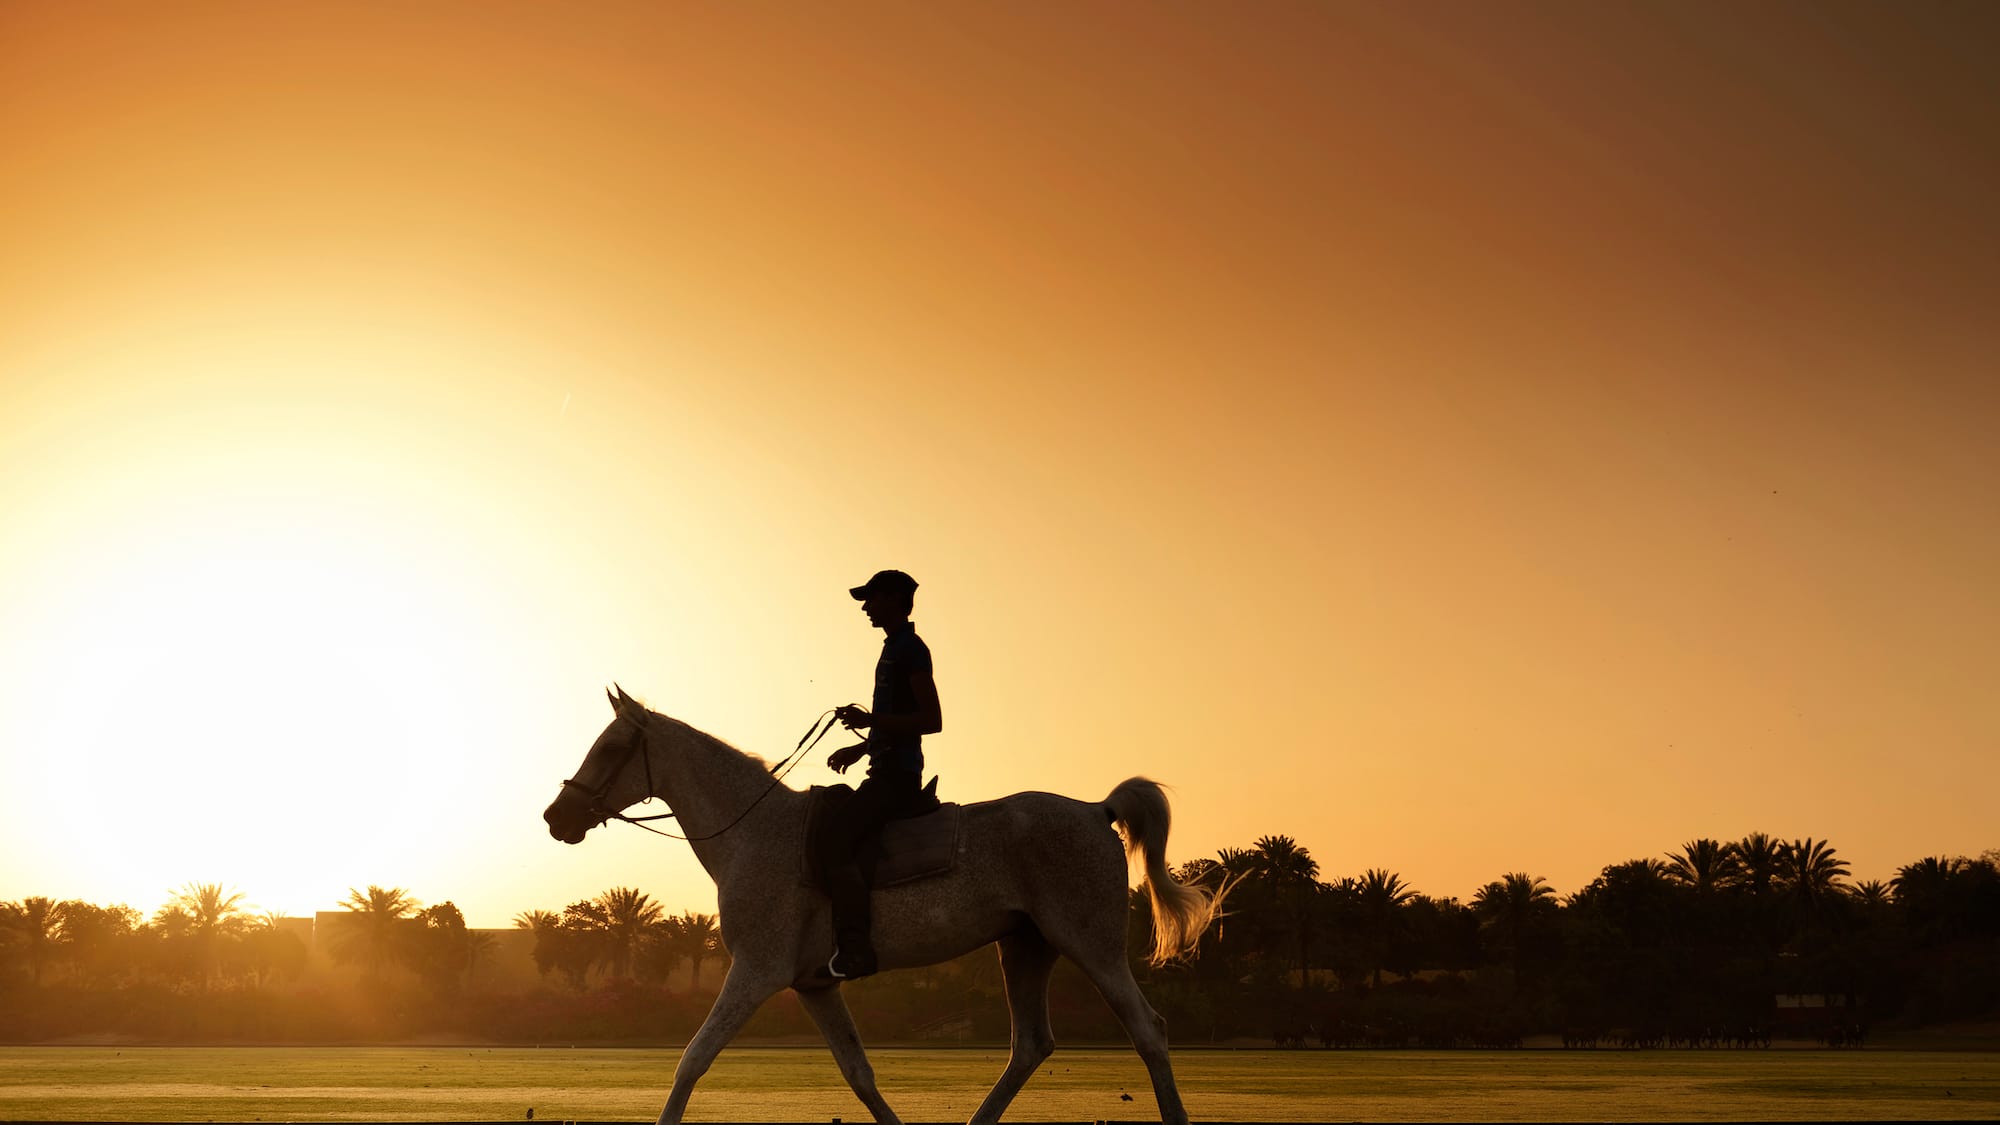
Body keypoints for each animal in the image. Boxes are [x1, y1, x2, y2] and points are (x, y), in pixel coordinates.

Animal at [542, 686, 1225, 1125]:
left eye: (610, 750)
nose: (557, 817)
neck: (754, 831)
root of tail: (1093, 809)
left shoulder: (755, 972)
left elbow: (692, 1061)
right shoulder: (815, 985)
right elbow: (859, 1075)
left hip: (1090, 945)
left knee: (1148, 1031)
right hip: (1023, 948)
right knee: (1032, 1046)